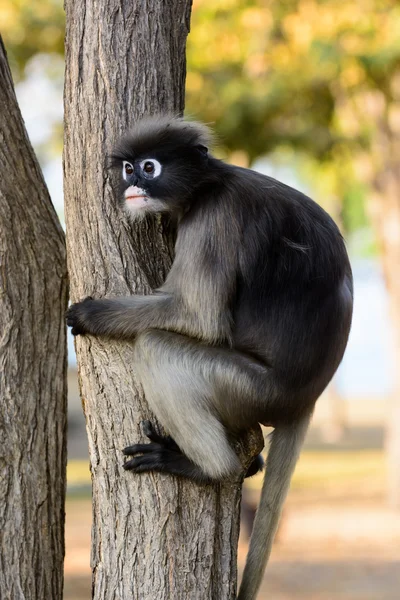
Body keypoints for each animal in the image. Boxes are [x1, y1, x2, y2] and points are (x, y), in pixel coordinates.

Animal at [66, 116, 354, 600]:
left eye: (149, 166)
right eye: (128, 168)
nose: (133, 184)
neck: (209, 183)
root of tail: (308, 397)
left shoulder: (214, 219)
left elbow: (198, 315)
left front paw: (91, 314)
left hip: (249, 388)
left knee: (155, 346)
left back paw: (206, 466)